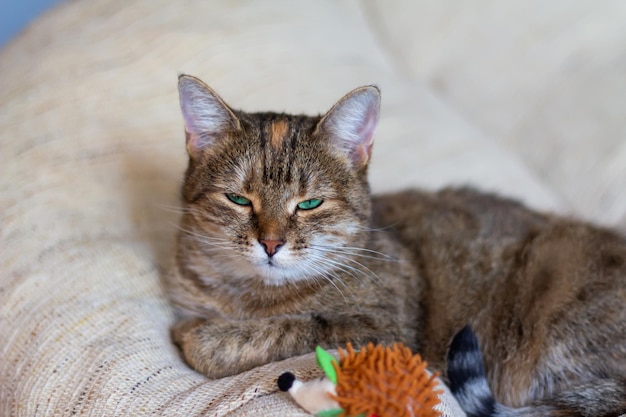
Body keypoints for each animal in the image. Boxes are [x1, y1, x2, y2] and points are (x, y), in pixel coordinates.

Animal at [166, 75, 624, 416]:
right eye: (238, 199)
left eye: (310, 203)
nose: (271, 243)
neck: (248, 294)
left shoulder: (384, 329)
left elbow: (284, 329)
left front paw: (200, 334)